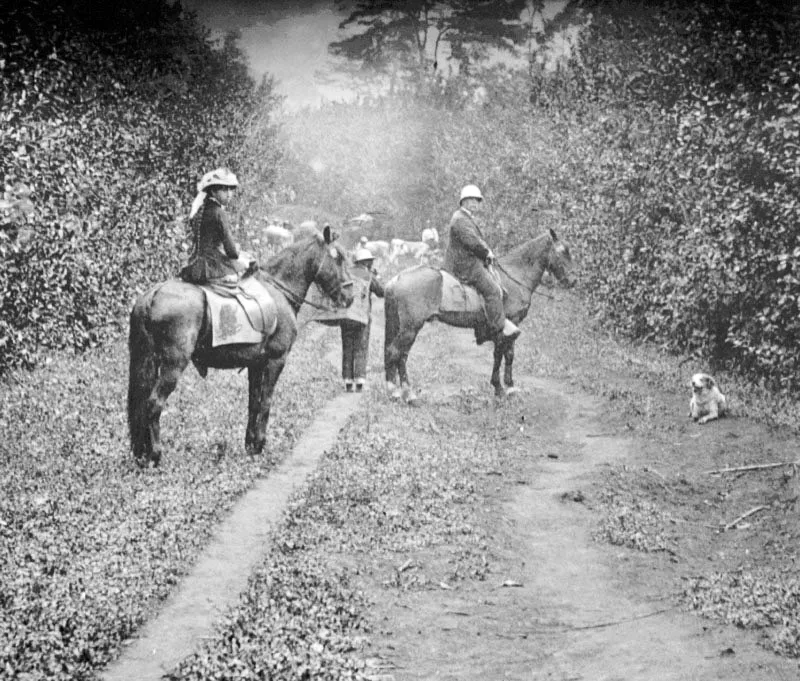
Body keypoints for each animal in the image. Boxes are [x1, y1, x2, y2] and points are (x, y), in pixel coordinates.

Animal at [129, 226, 354, 464]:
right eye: (338, 258)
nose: (350, 296)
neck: (278, 290)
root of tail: (153, 294)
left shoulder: (256, 364)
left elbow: (253, 402)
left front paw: (250, 445)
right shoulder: (276, 361)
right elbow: (266, 401)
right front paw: (260, 444)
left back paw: (143, 453)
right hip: (173, 365)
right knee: (154, 403)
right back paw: (155, 455)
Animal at [384, 228, 572, 398]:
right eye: (562, 252)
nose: (572, 281)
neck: (515, 278)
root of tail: (397, 279)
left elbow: (506, 355)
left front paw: (507, 386)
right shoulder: (508, 325)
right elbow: (503, 354)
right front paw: (502, 388)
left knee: (400, 355)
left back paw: (401, 390)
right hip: (410, 328)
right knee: (395, 352)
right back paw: (402, 393)